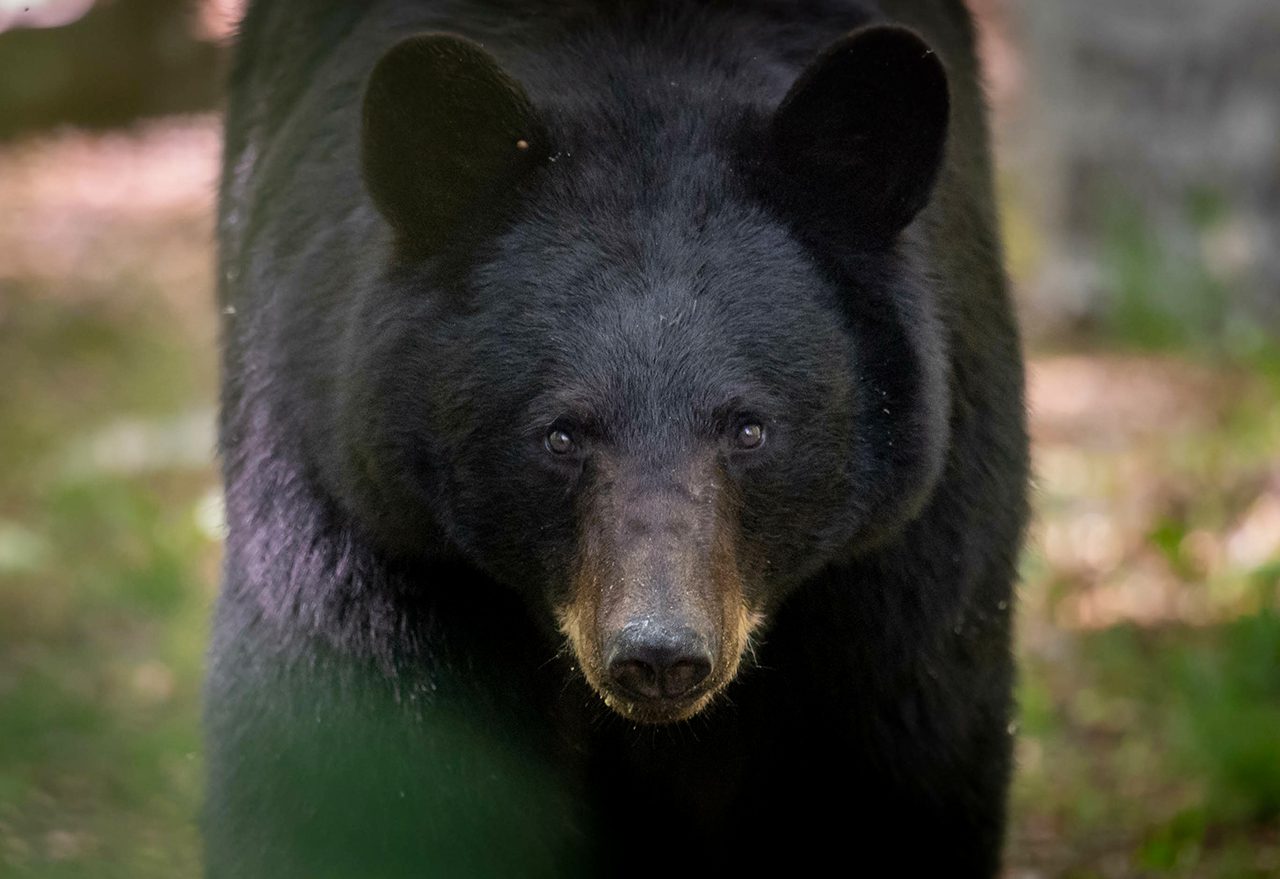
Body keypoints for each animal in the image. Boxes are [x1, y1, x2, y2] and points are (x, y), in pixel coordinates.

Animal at [207, 1, 1029, 875]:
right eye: (562, 434)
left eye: (749, 428)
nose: (660, 655)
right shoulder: (362, 507)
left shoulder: (900, 562)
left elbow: (894, 763)